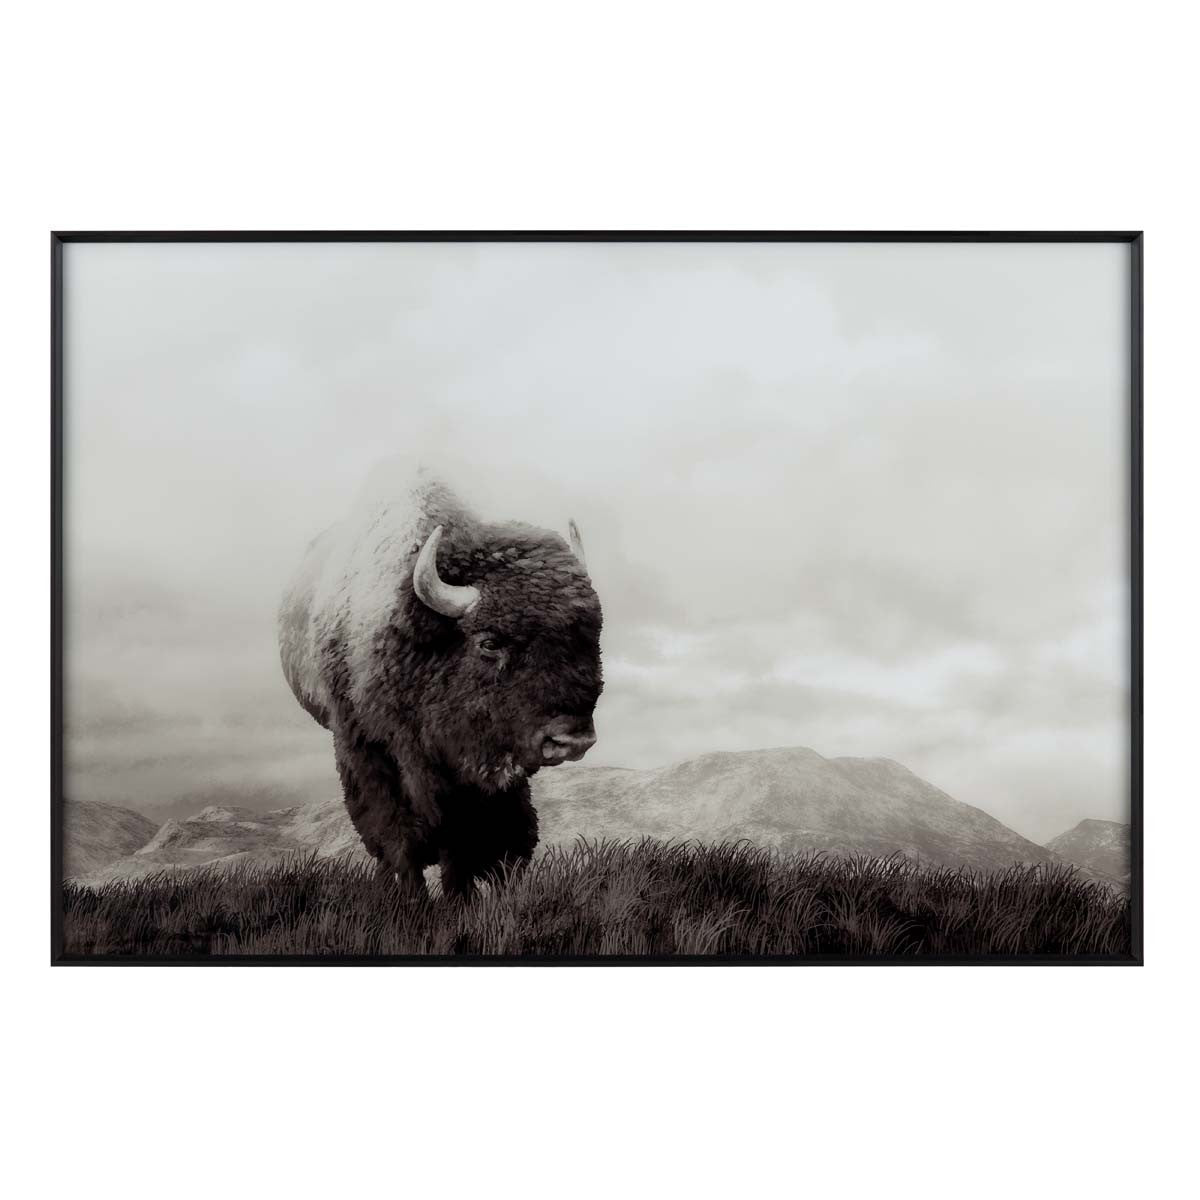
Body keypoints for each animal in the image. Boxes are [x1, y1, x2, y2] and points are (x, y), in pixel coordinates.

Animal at [278, 469, 603, 898]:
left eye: (591, 636)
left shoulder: (477, 775)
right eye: (489, 642)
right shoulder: (367, 747)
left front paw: (467, 895)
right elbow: (399, 836)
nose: (573, 738)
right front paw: (417, 899)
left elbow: (474, 839)